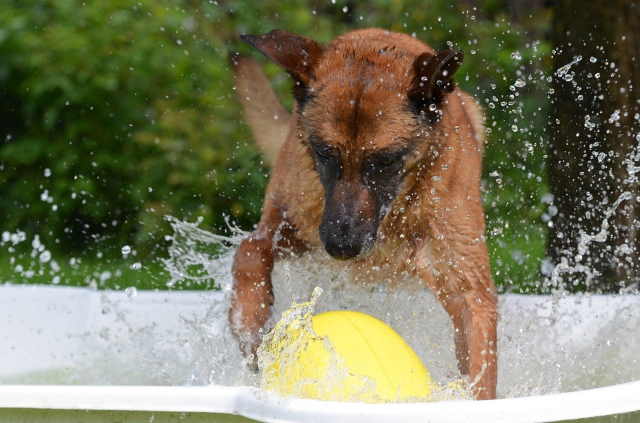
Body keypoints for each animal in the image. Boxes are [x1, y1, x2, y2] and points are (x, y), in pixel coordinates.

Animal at [228, 29, 498, 400]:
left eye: (384, 161)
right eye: (325, 153)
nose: (342, 247)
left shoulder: (467, 286)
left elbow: (479, 363)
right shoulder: (294, 226)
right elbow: (250, 250)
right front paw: (249, 321)